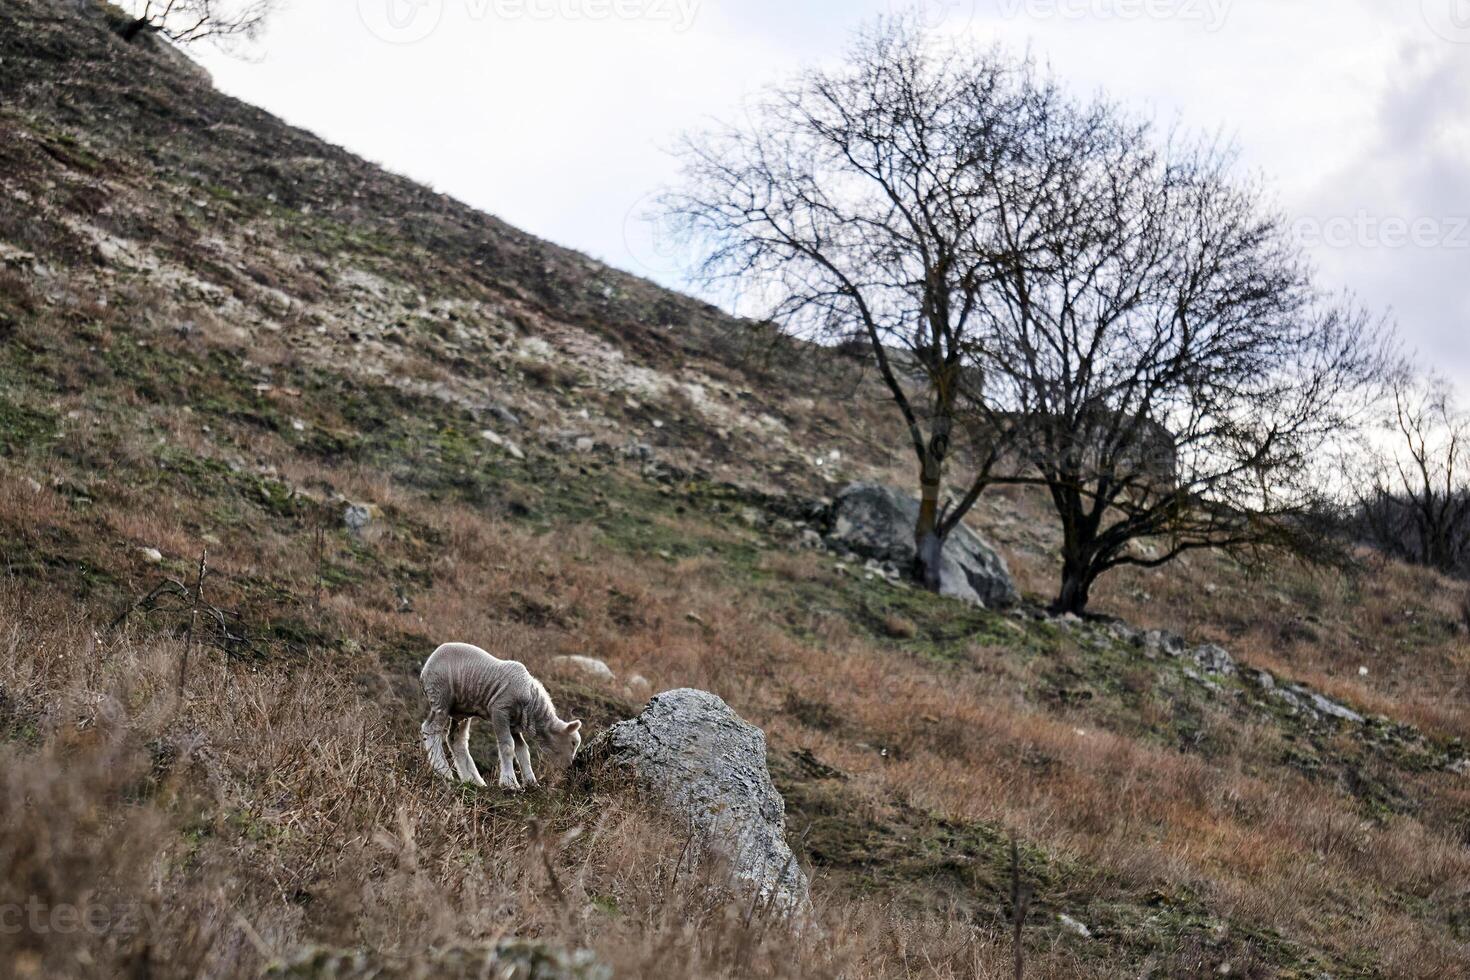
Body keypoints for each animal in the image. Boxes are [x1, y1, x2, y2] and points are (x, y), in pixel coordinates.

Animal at [420, 640, 579, 793]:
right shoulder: (500, 711)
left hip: (462, 709)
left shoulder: (515, 723)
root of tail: (425, 669)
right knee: (431, 729)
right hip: (440, 695)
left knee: (456, 740)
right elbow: (508, 746)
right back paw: (443, 771)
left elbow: (522, 750)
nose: (569, 767)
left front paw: (531, 783)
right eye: (573, 743)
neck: (531, 703)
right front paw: (509, 783)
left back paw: (473, 781)